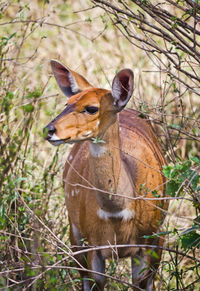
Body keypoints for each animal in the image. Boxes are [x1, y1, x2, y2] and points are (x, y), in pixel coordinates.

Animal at [44, 60, 169, 291]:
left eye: (92, 108)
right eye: (68, 102)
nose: (49, 130)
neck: (117, 211)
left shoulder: (148, 242)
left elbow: (141, 282)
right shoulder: (93, 245)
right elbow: (96, 281)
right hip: (75, 233)